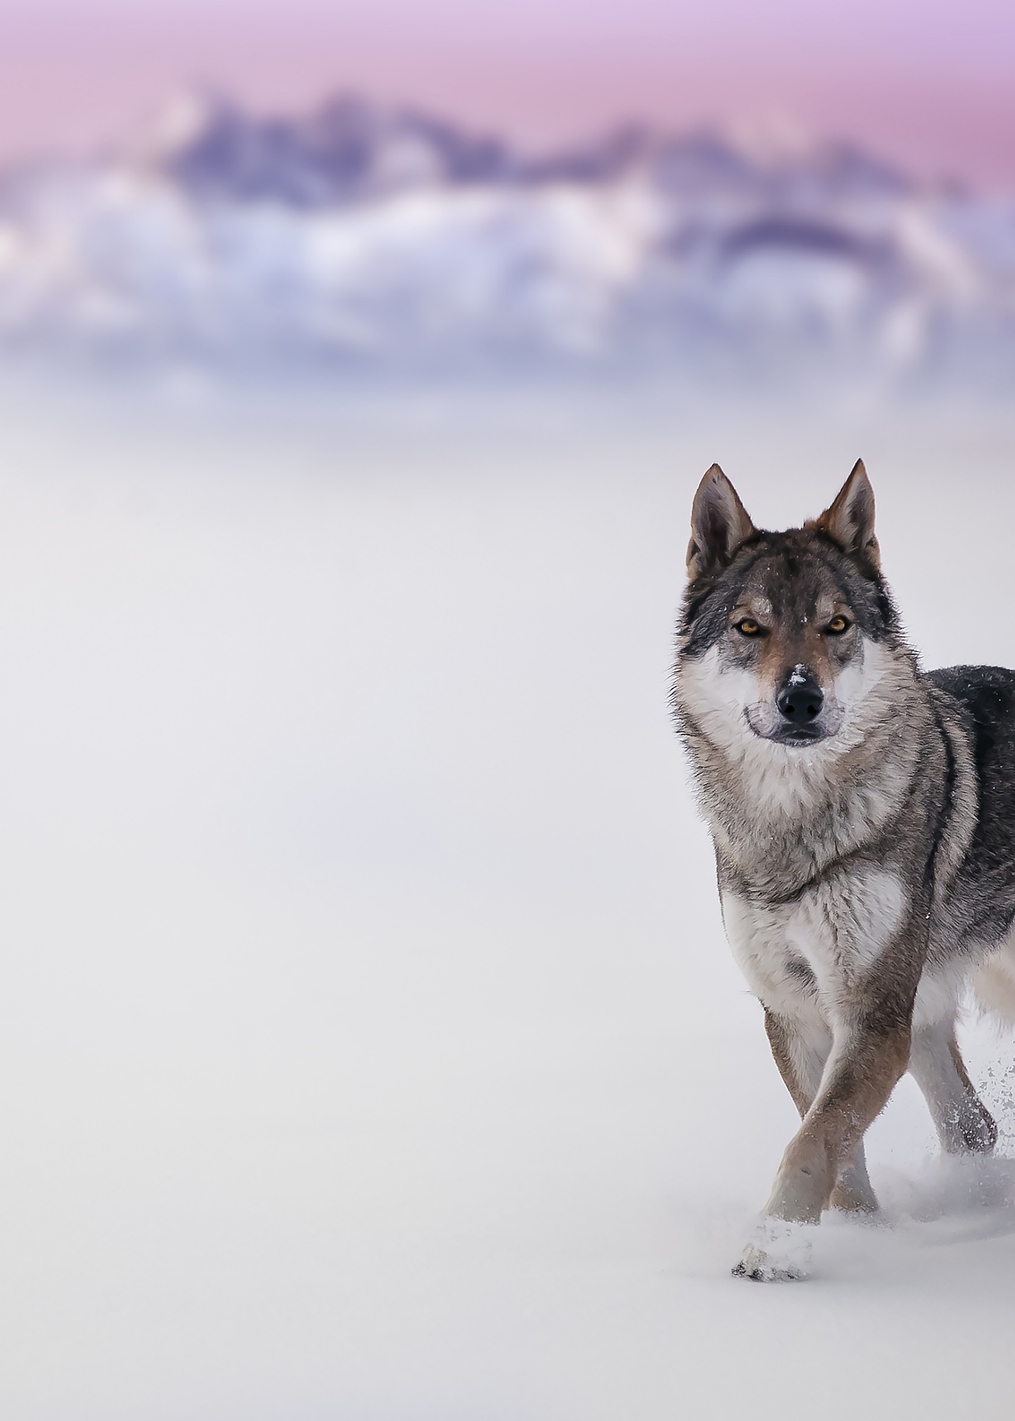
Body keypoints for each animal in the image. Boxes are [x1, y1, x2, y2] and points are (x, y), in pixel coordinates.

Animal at [671, 460, 1015, 1279]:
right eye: (750, 627)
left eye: (835, 626)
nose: (800, 698)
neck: (794, 832)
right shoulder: (798, 1011)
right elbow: (836, 1147)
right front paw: (858, 1238)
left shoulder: (870, 1014)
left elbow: (812, 1142)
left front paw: (766, 1252)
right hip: (924, 1014)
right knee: (975, 1127)